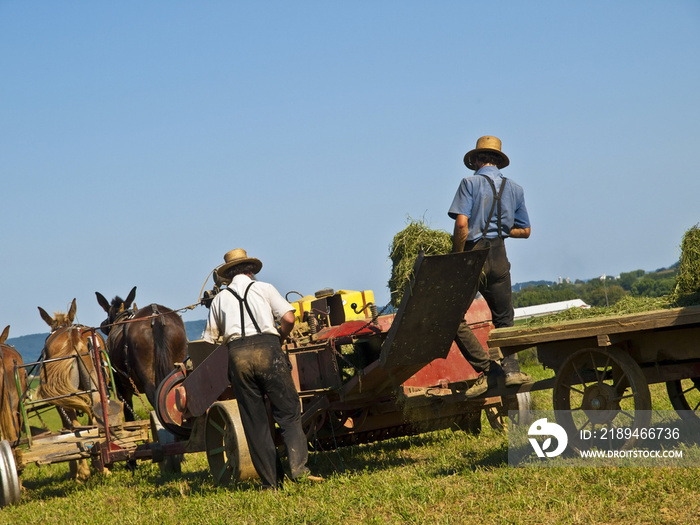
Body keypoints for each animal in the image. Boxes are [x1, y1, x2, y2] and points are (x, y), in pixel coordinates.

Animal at [37, 298, 106, 478]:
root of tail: (74, 336)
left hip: (65, 398)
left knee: (75, 426)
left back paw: (82, 471)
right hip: (96, 387)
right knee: (95, 420)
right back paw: (103, 467)